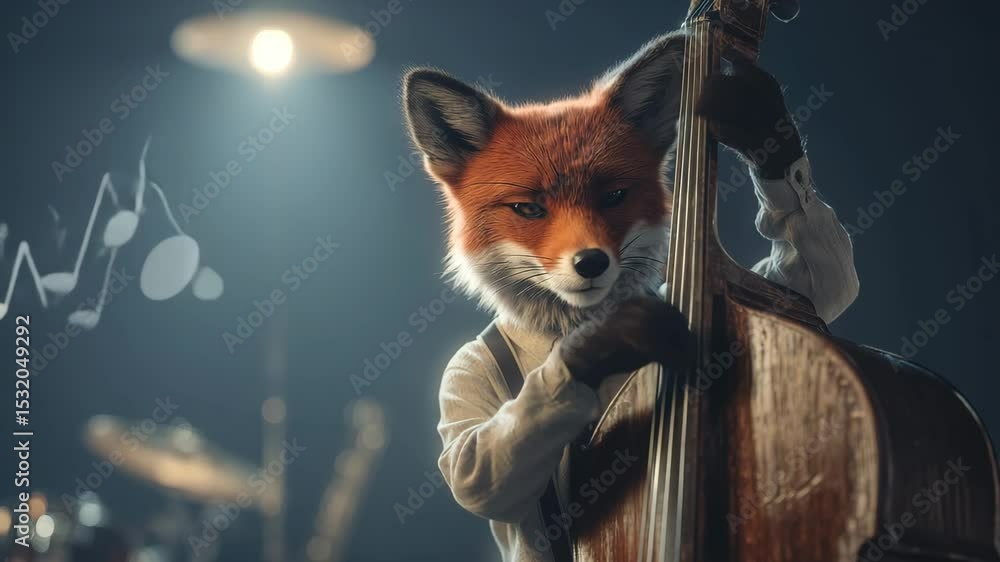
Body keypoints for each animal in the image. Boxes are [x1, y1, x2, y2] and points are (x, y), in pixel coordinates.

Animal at [403, 30, 858, 562]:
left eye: (614, 196)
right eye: (529, 209)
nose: (591, 263)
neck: (567, 326)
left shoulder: (794, 283)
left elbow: (823, 281)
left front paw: (753, 113)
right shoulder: (462, 376)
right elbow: (475, 471)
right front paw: (617, 336)